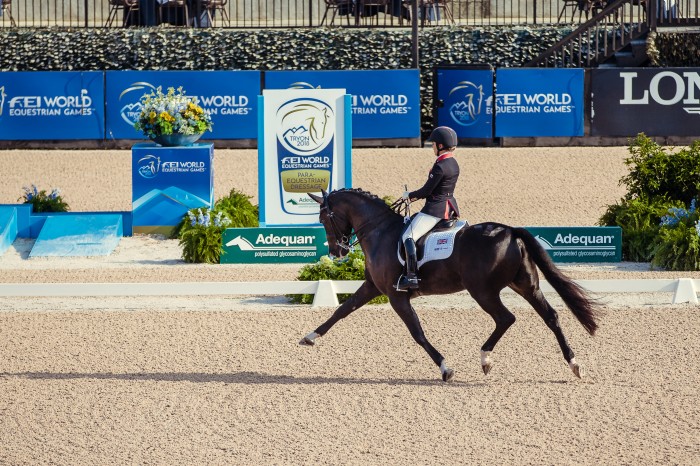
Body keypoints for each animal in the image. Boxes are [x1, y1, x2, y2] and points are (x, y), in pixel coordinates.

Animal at [300, 189, 600, 382]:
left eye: (324, 219)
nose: (337, 252)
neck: (379, 231)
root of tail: (510, 231)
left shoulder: (396, 296)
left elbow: (418, 333)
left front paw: (445, 368)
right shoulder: (373, 287)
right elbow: (342, 310)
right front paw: (310, 337)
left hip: (483, 291)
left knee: (506, 318)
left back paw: (485, 359)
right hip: (526, 286)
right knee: (551, 316)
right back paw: (575, 365)